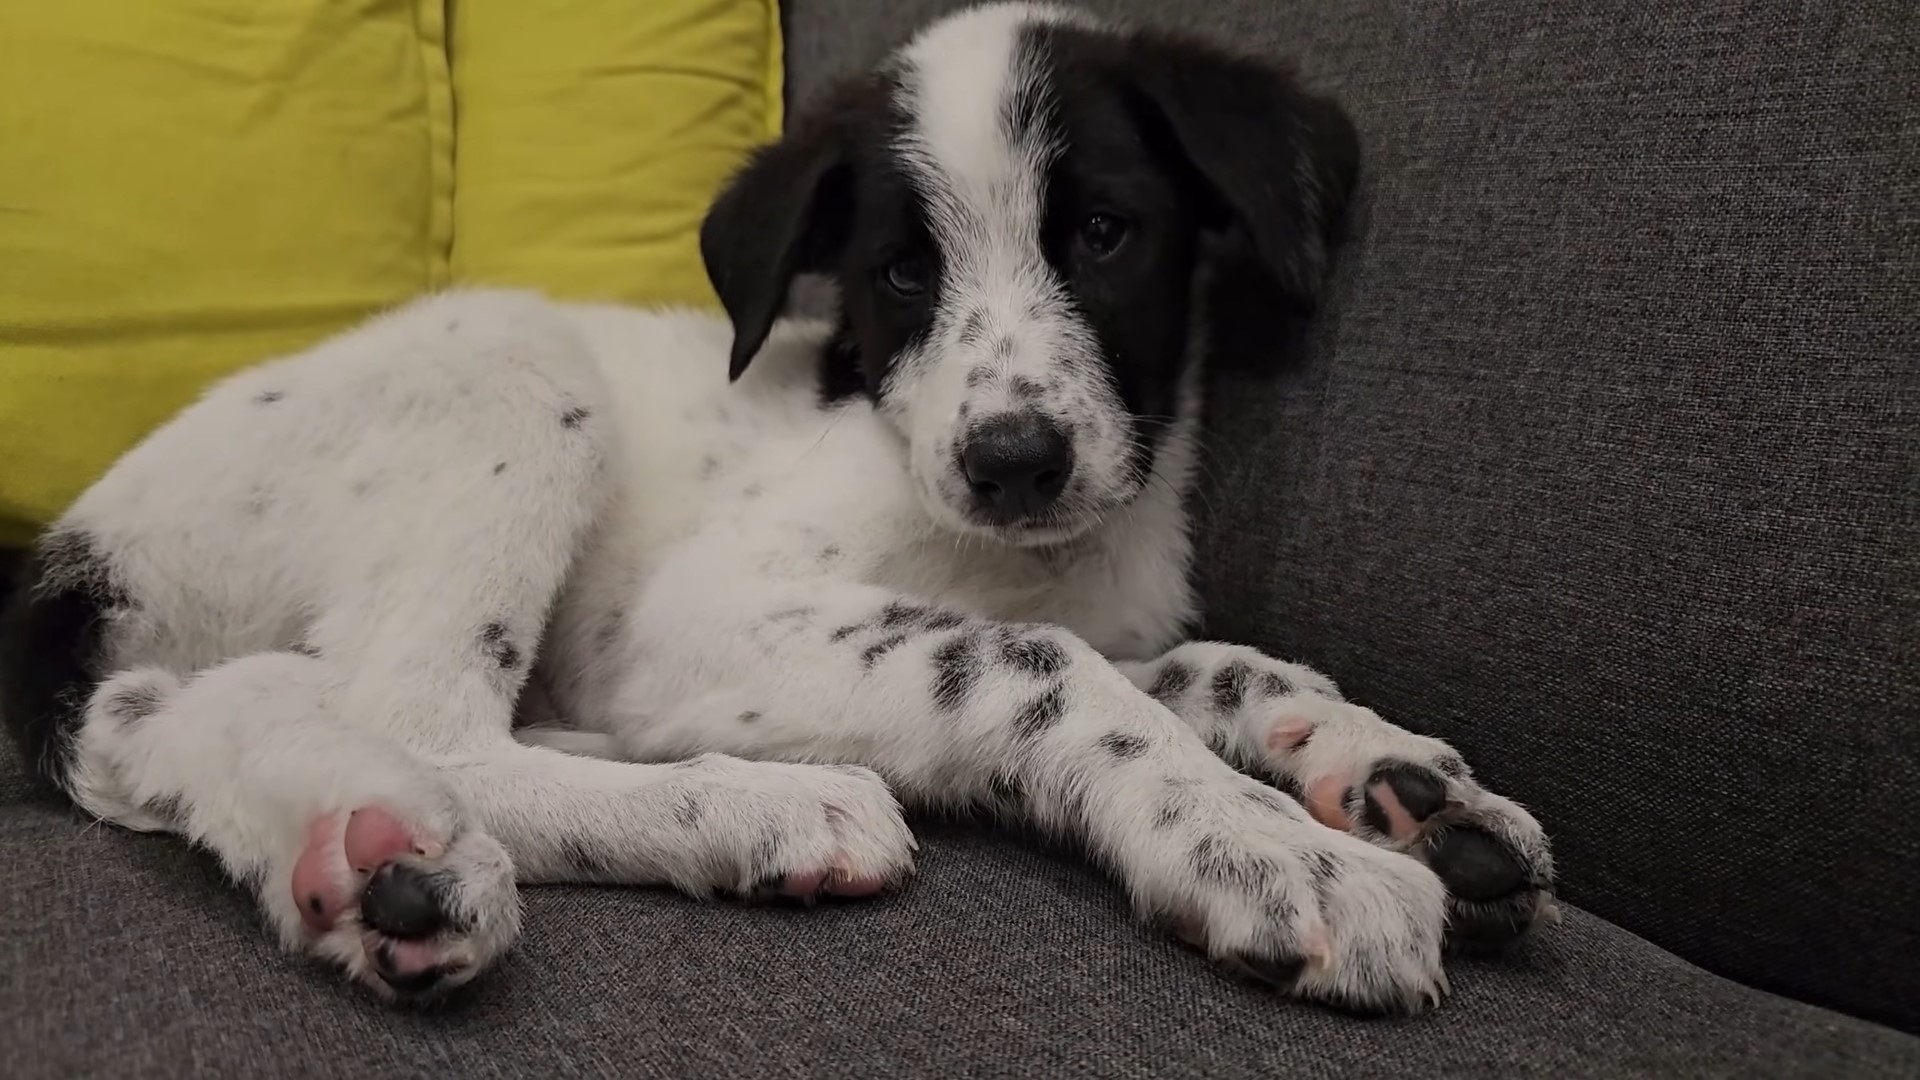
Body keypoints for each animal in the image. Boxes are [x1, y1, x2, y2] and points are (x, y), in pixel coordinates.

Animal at [0, 2, 1551, 1006]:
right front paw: (1267, 847)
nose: (1013, 459)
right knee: (416, 718)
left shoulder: (1102, 605)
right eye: (903, 273)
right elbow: (1036, 666)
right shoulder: (700, 621)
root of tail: (73, 559)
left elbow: (1206, 664)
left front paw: (1399, 778)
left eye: (1106, 235)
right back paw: (742, 805)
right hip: (513, 360)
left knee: (194, 715)